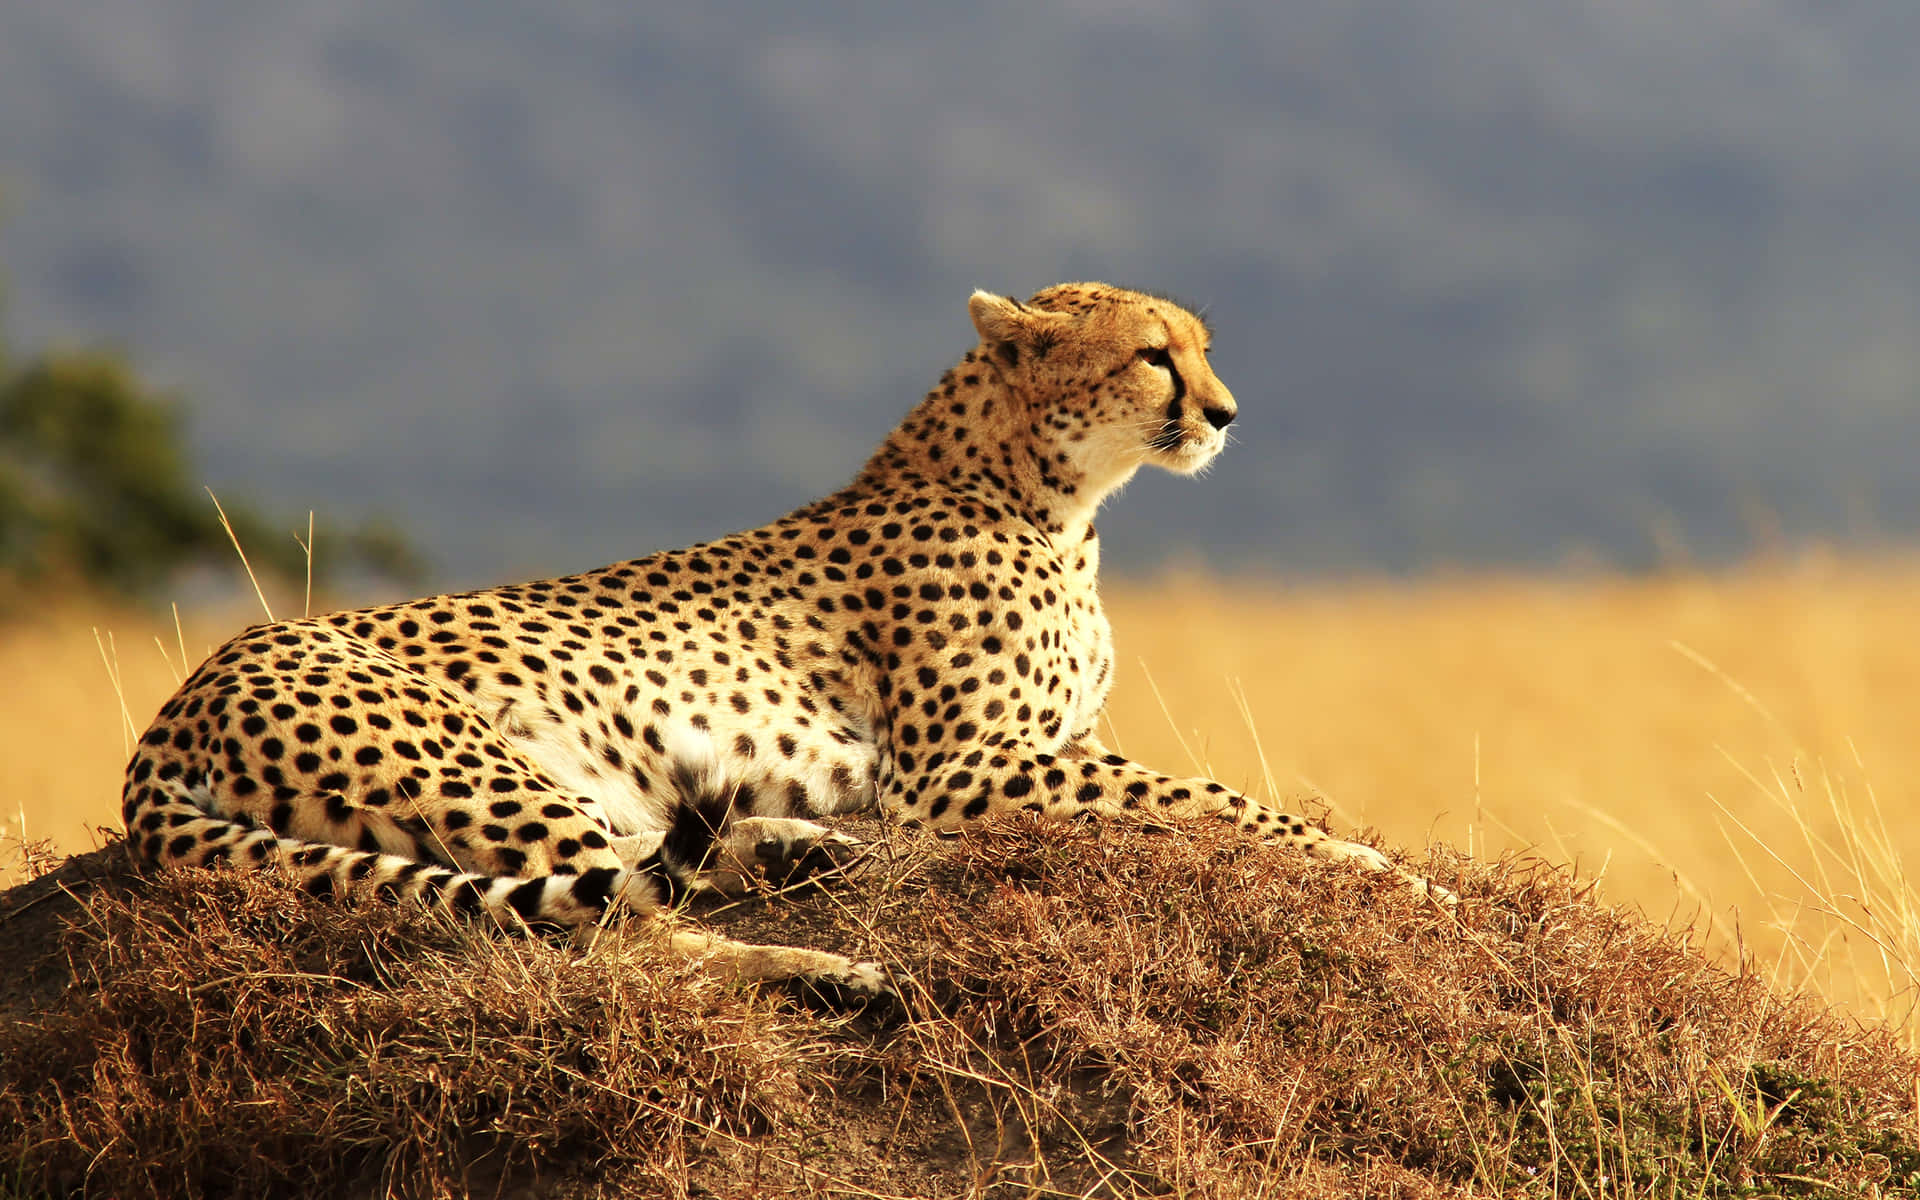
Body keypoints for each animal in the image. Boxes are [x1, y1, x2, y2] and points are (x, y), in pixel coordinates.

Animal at [120, 286, 1443, 998]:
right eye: (1154, 355)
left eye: (1203, 349)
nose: (1226, 413)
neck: (1048, 495)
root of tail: (175, 706)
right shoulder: (961, 771)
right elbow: (1213, 796)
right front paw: (1385, 870)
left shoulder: (1029, 751)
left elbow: (1194, 794)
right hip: (476, 764)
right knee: (622, 934)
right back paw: (827, 967)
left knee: (651, 864)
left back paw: (807, 855)